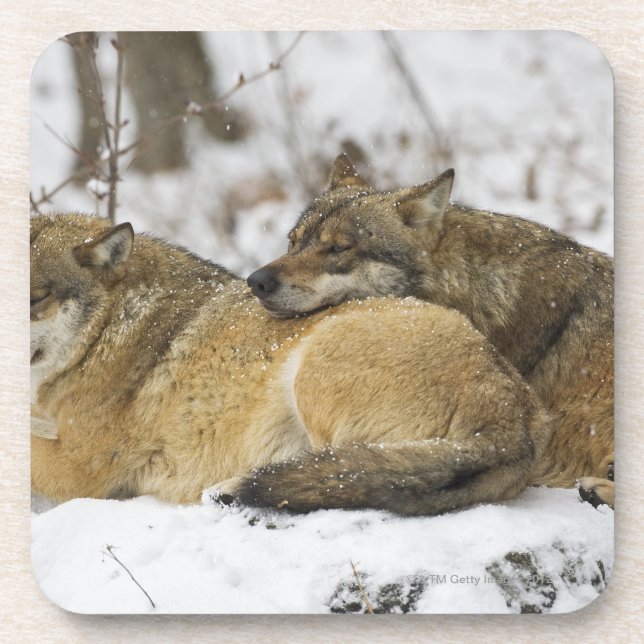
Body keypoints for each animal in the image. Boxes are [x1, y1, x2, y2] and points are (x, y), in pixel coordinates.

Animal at [30, 214, 553, 515]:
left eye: (35, 297)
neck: (108, 332)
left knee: (341, 477)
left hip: (314, 372)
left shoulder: (82, 471)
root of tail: (514, 418)